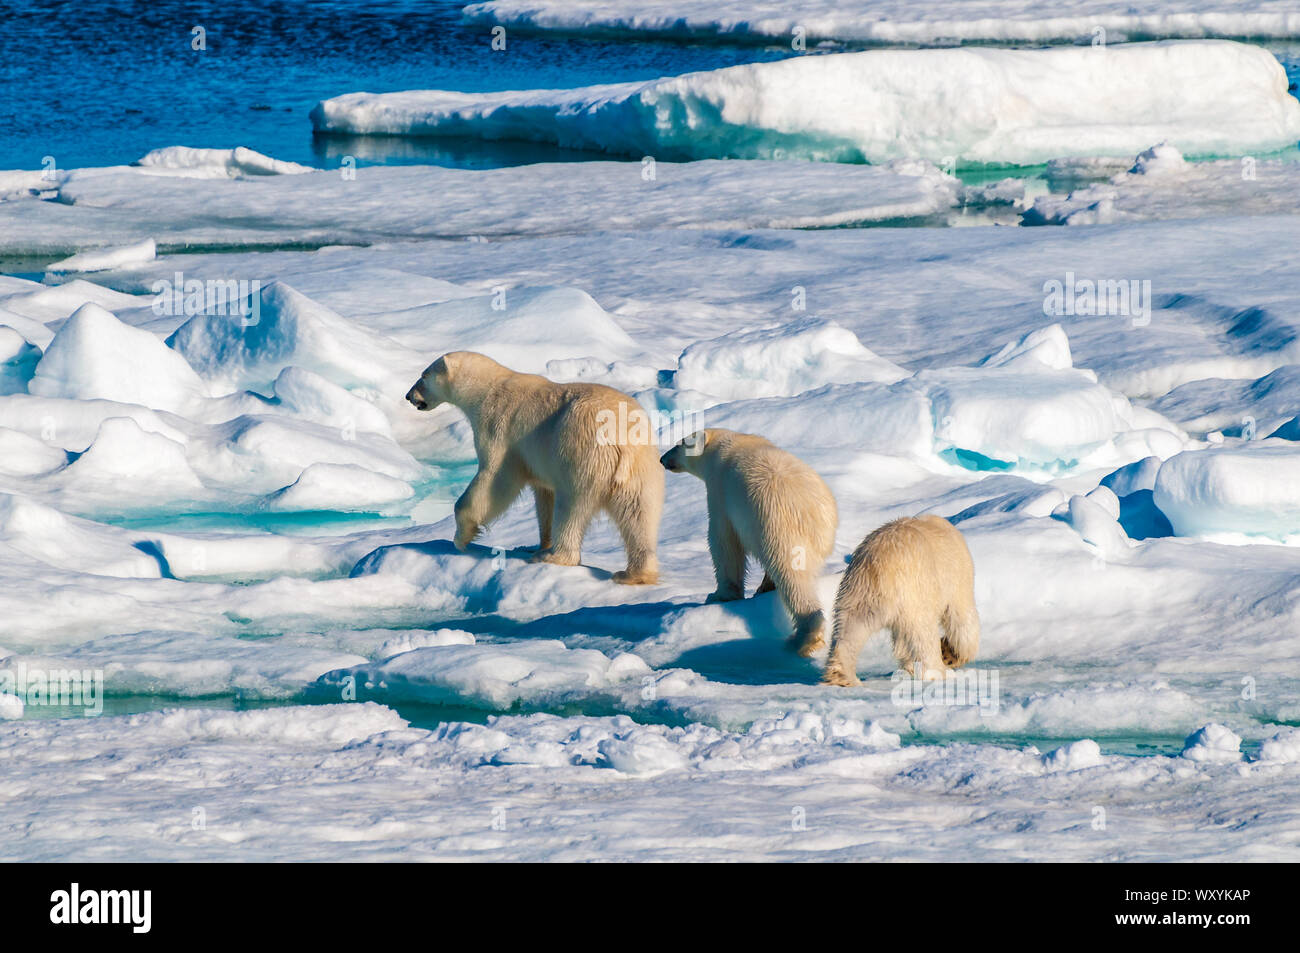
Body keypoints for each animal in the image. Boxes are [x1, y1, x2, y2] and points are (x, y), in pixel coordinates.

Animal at [406, 351, 663, 584]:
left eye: (423, 375)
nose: (409, 396)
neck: (487, 389)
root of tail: (621, 435)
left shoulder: (498, 427)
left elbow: (494, 478)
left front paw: (462, 537)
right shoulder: (541, 461)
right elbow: (544, 496)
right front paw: (536, 545)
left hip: (582, 453)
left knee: (572, 506)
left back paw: (555, 557)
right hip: (642, 465)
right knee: (639, 513)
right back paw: (634, 574)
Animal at [660, 428, 837, 654]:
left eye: (679, 443)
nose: (662, 459)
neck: (725, 444)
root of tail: (814, 512)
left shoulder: (720, 489)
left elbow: (724, 542)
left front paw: (719, 595)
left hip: (778, 524)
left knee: (793, 577)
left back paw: (804, 638)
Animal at [822, 514, 979, 686]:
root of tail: (882, 567)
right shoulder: (957, 576)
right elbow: (962, 622)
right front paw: (948, 653)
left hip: (859, 593)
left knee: (850, 630)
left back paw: (843, 677)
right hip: (915, 592)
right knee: (924, 634)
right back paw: (938, 672)